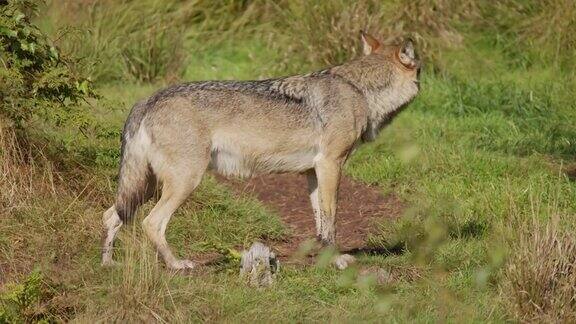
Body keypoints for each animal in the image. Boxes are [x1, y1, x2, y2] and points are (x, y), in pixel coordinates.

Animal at [101, 32, 420, 270]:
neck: (359, 90)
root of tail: (147, 100)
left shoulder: (313, 171)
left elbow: (320, 221)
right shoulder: (331, 164)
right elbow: (331, 220)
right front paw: (339, 260)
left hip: (146, 187)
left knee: (111, 215)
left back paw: (108, 264)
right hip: (182, 183)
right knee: (151, 223)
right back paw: (177, 264)